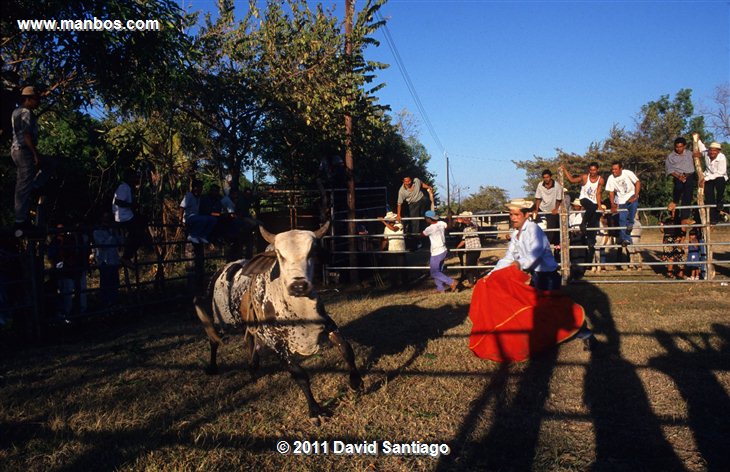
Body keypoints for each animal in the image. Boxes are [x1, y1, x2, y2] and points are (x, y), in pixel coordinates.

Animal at [195, 221, 362, 424]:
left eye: (312, 252)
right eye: (280, 255)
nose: (299, 285)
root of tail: (223, 268)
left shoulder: (327, 323)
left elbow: (346, 349)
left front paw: (356, 382)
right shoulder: (276, 342)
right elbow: (300, 374)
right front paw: (315, 410)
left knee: (249, 340)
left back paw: (253, 367)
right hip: (222, 321)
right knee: (213, 340)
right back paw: (213, 367)